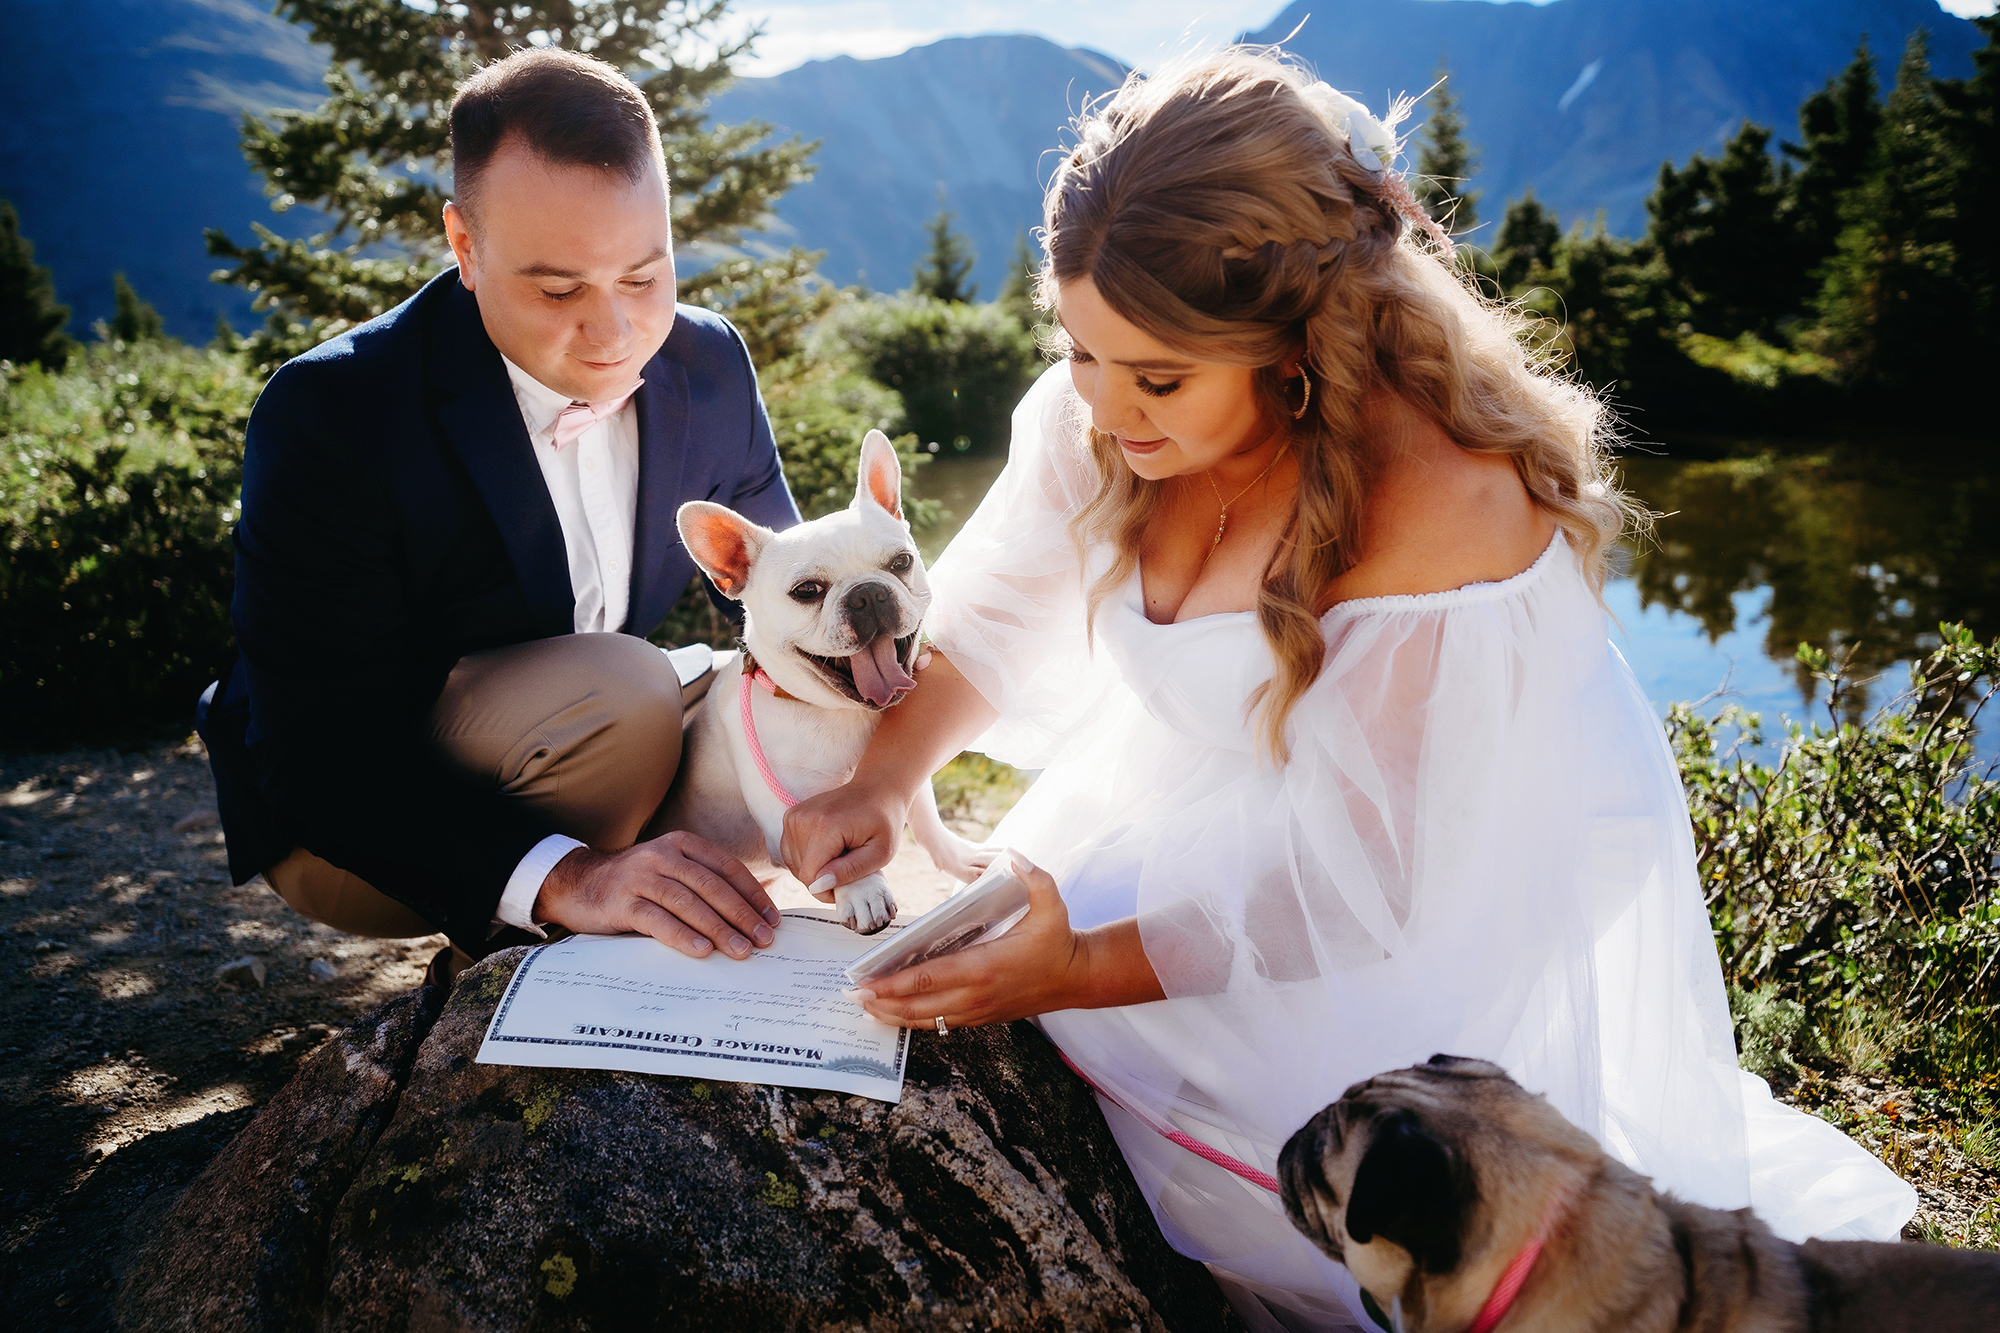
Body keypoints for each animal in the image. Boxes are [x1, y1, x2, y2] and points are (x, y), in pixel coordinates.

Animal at [664, 430, 992, 928]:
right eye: (807, 592)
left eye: (901, 562)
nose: (867, 593)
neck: (840, 712)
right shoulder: (792, 813)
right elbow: (832, 854)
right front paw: (862, 890)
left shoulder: (901, 776)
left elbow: (925, 819)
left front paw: (958, 857)